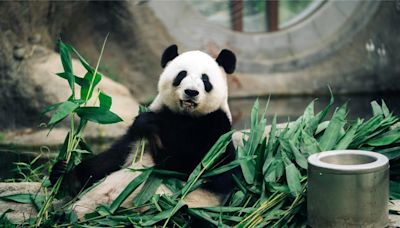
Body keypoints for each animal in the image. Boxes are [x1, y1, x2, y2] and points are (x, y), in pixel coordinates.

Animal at [50, 44, 238, 219]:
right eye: (181, 74)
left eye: (205, 79)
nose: (191, 92)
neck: (185, 116)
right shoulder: (138, 136)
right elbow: (110, 159)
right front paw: (65, 175)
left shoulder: (216, 131)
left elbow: (188, 166)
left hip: (179, 209)